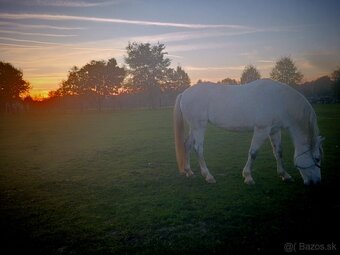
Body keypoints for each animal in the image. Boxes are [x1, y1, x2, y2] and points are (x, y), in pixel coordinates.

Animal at [174, 78, 326, 184]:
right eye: (317, 158)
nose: (316, 182)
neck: (278, 100)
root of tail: (184, 93)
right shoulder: (261, 129)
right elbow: (253, 153)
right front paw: (248, 177)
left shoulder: (274, 130)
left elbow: (278, 152)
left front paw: (285, 175)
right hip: (199, 126)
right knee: (198, 148)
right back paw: (208, 176)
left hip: (194, 127)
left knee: (187, 145)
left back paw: (189, 172)